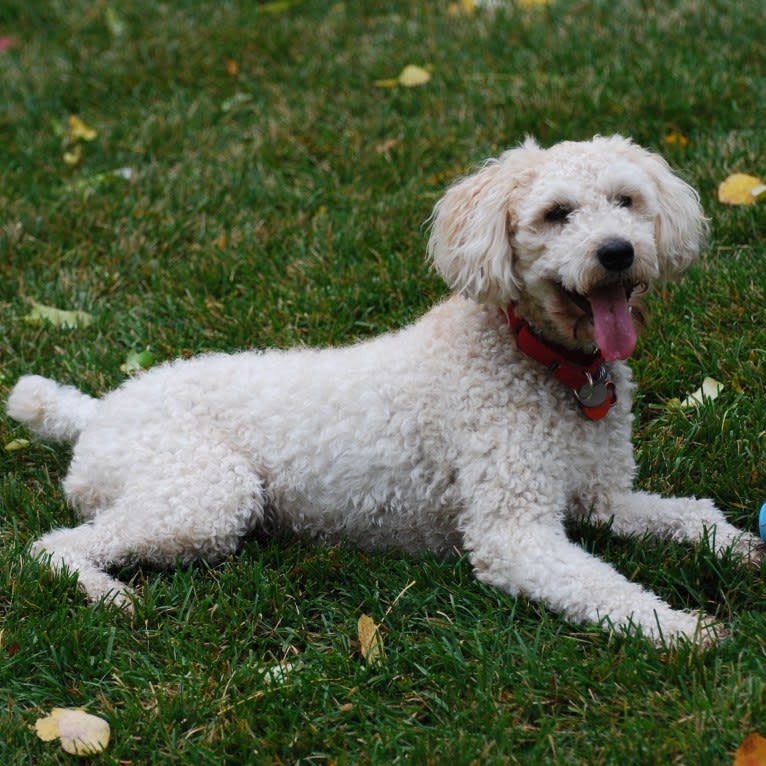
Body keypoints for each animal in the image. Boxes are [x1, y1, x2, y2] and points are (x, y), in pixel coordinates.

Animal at [4, 135, 760, 644]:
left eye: (626, 201)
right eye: (556, 213)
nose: (617, 252)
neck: (543, 363)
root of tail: (97, 411)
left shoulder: (600, 497)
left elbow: (688, 515)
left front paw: (743, 550)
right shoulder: (512, 531)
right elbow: (601, 586)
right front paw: (682, 630)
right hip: (202, 496)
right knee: (52, 546)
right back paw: (107, 596)